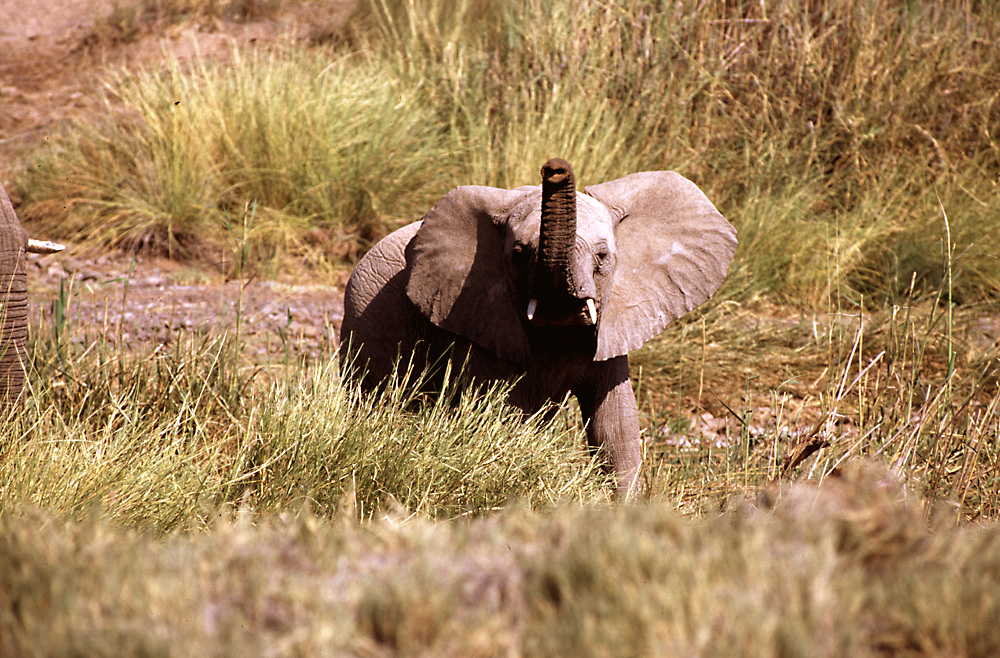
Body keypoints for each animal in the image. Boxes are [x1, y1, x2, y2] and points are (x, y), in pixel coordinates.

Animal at [340, 160, 740, 498]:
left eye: (602, 257)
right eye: (517, 254)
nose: (555, 169)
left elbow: (615, 426)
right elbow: (506, 418)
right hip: (365, 318)